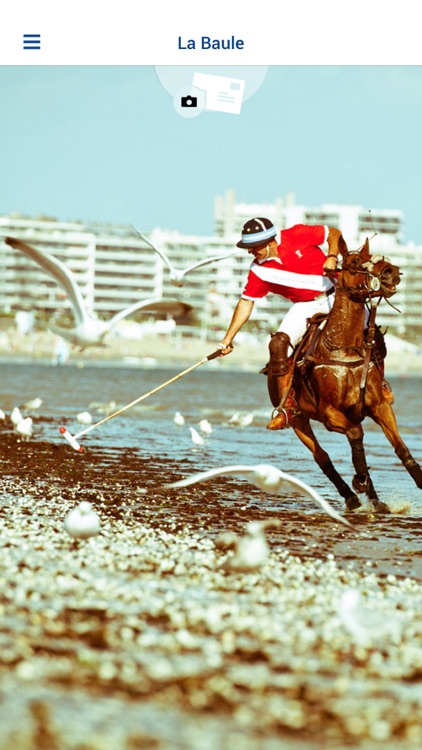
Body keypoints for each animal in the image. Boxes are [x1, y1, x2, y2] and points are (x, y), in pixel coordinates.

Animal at [268, 238, 420, 516]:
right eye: (355, 261)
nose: (390, 271)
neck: (344, 348)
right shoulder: (330, 414)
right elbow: (355, 434)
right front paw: (359, 480)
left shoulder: (379, 406)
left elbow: (399, 446)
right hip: (298, 420)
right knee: (322, 457)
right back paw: (351, 497)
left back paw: (376, 501)